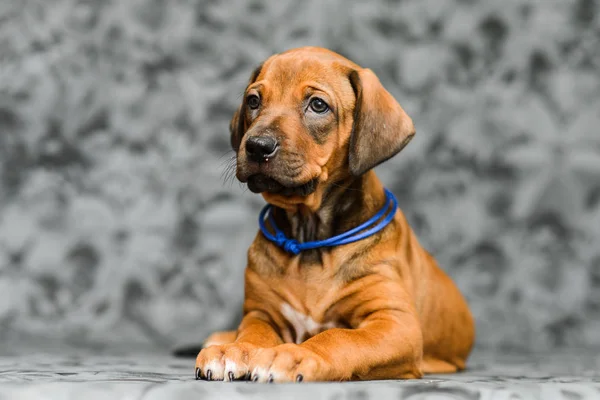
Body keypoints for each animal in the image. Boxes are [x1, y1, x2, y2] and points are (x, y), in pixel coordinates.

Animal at [196, 46, 474, 382]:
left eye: (318, 105)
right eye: (253, 101)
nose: (257, 146)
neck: (308, 238)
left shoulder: (396, 323)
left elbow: (340, 337)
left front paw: (295, 356)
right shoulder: (262, 312)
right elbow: (253, 331)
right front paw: (235, 350)